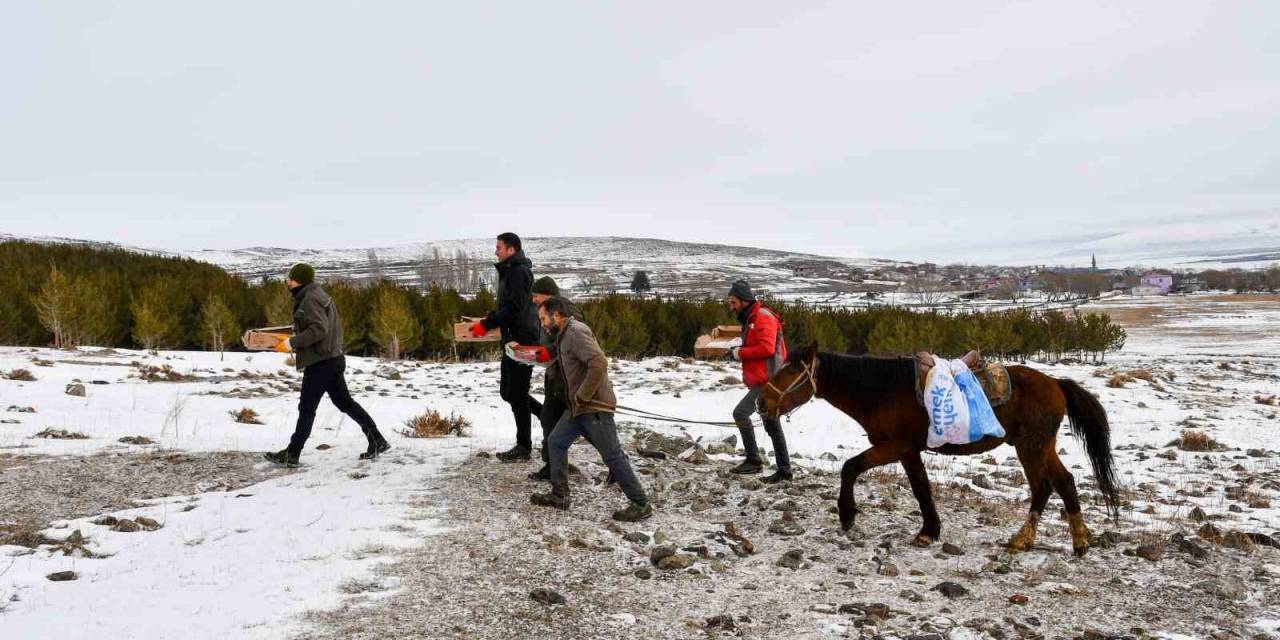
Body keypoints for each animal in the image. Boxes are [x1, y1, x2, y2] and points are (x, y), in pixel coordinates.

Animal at [757, 343, 1121, 558]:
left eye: (792, 369)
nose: (762, 402)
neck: (882, 390)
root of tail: (1056, 383)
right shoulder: (907, 451)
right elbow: (921, 489)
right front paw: (929, 531)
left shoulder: (894, 446)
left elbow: (851, 467)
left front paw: (847, 515)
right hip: (1040, 446)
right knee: (1065, 482)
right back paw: (1079, 540)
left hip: (1031, 446)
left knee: (1043, 486)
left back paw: (1025, 539)